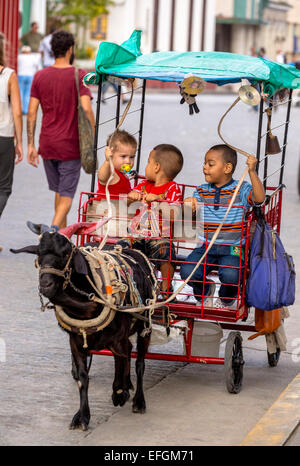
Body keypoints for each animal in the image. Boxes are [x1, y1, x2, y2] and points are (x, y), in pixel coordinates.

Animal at [11, 222, 157, 430]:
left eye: (65, 254)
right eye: (38, 254)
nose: (45, 285)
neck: (87, 305)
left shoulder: (117, 338)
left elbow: (122, 360)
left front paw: (119, 393)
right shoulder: (75, 341)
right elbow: (82, 378)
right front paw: (82, 417)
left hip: (146, 323)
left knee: (138, 361)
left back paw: (137, 400)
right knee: (129, 351)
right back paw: (127, 386)